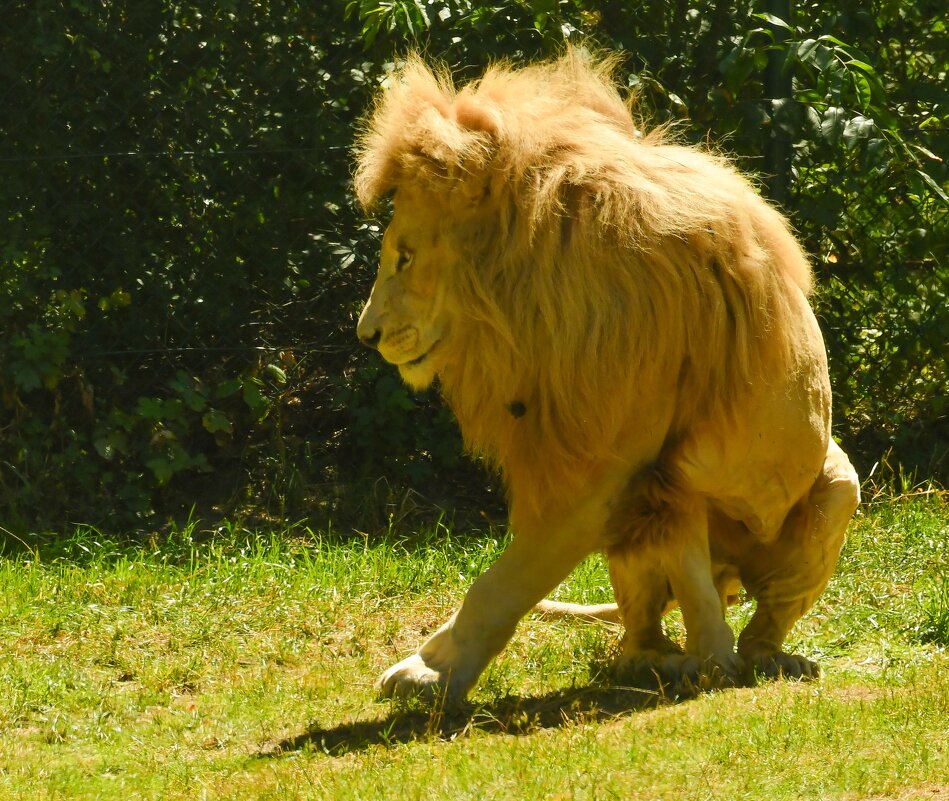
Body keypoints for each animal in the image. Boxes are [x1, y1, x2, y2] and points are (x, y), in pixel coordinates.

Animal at [350, 51, 860, 700]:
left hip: (835, 490)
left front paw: (430, 672)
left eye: (405, 256)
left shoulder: (604, 456)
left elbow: (506, 581)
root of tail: (732, 579)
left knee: (758, 621)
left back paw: (764, 661)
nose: (365, 334)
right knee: (672, 598)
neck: (526, 293)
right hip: (660, 509)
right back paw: (679, 663)